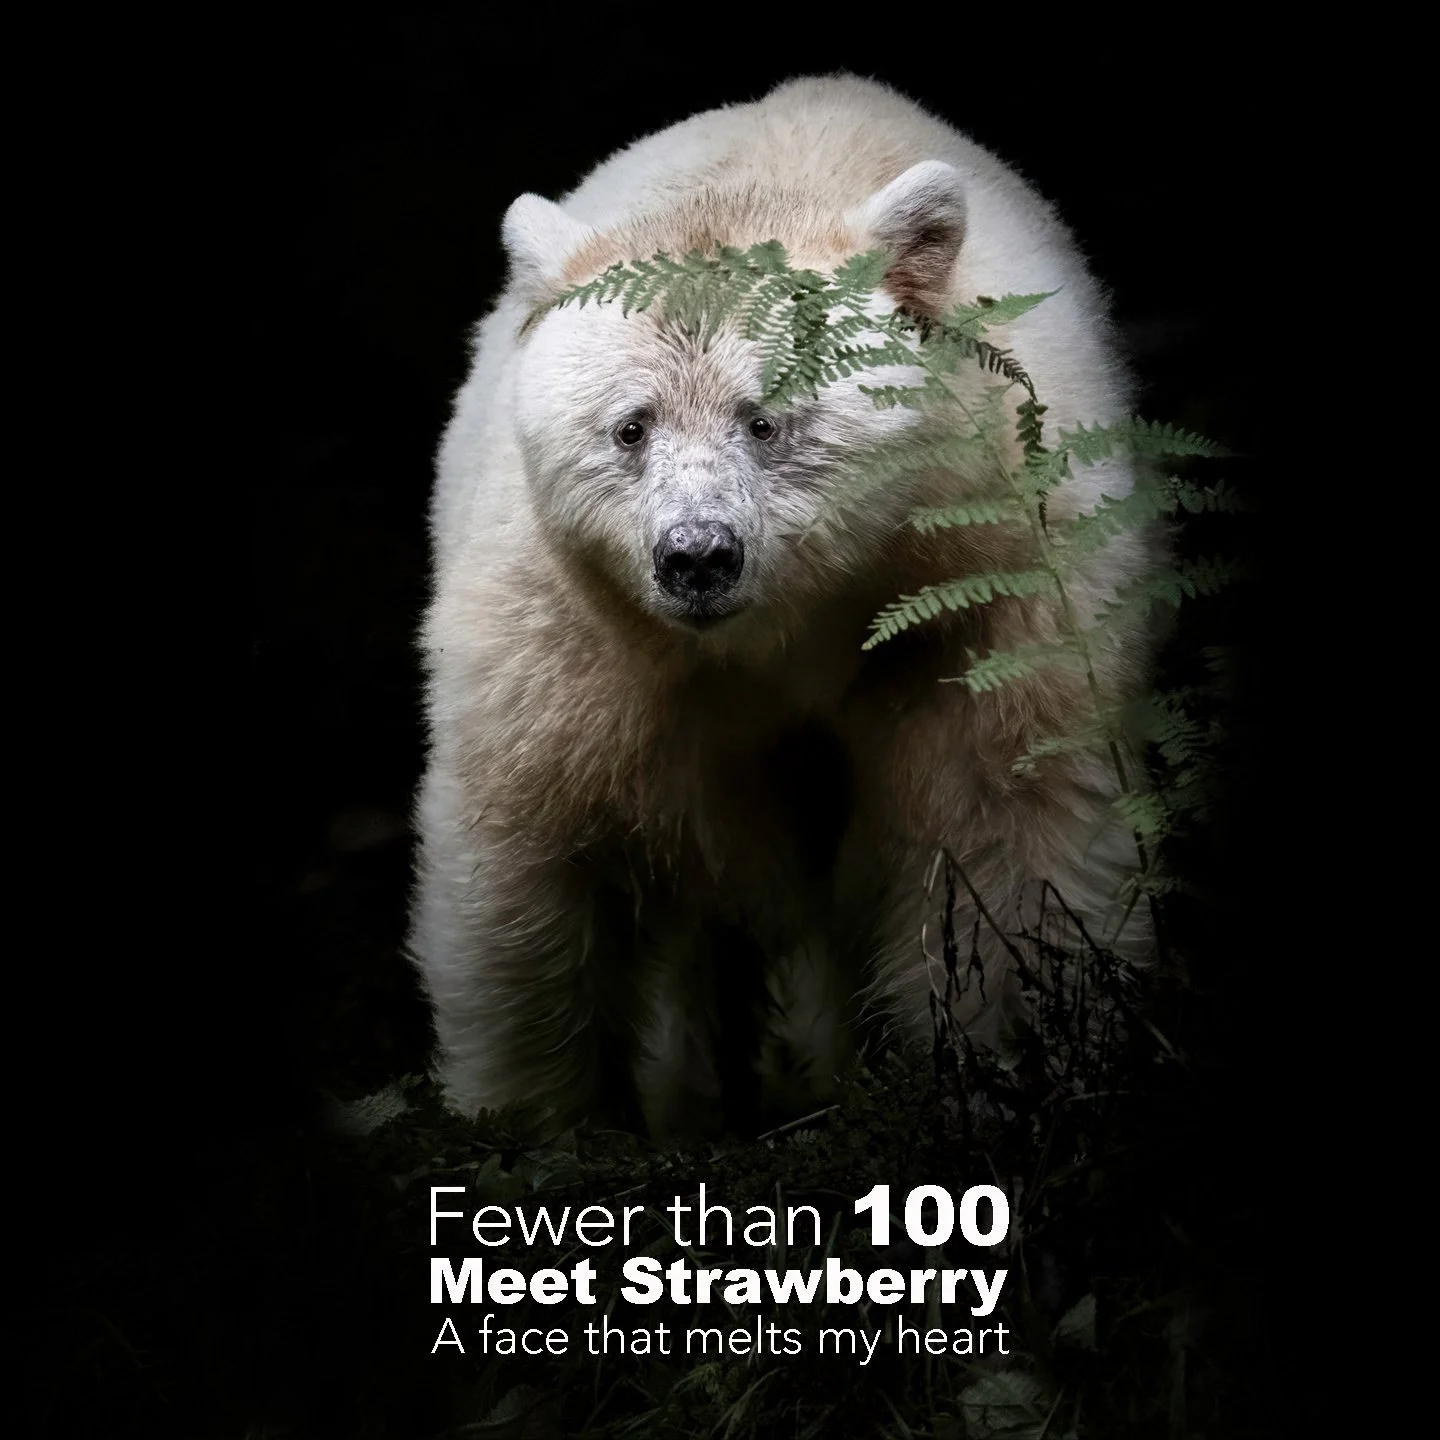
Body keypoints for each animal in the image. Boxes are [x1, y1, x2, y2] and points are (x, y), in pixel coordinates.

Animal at [408, 73, 1155, 1136]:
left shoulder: (982, 595)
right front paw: (540, 1120)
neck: (792, 629)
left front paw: (1016, 1064)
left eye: (764, 421)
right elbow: (530, 845)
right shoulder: (570, 635)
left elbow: (1005, 814)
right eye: (631, 427)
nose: (696, 558)